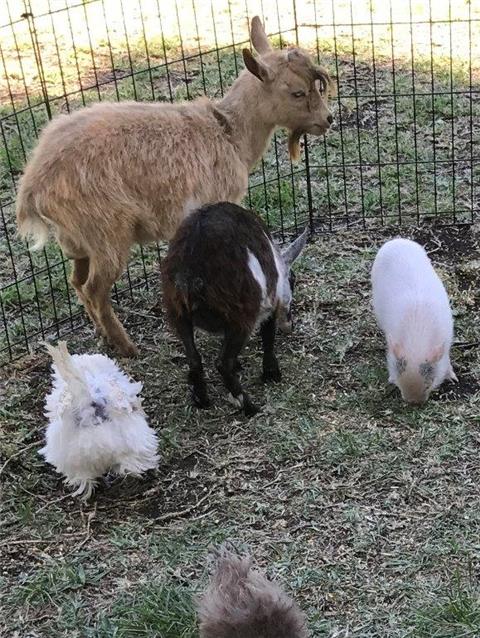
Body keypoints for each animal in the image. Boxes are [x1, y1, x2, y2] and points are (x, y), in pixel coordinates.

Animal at [15, 16, 334, 356]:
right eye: (297, 93)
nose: (328, 119)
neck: (229, 133)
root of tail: (32, 188)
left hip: (77, 240)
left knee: (77, 281)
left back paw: (104, 336)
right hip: (106, 232)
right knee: (94, 288)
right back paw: (127, 347)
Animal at [161, 202, 308, 418]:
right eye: (293, 280)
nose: (290, 325)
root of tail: (191, 272)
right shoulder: (268, 303)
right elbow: (268, 335)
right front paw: (272, 374)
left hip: (178, 313)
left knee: (194, 358)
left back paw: (201, 399)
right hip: (241, 315)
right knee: (223, 363)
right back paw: (249, 406)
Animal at [372, 240, 458, 404]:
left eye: (428, 385)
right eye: (400, 383)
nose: (413, 402)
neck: (417, 340)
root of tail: (396, 241)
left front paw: (453, 379)